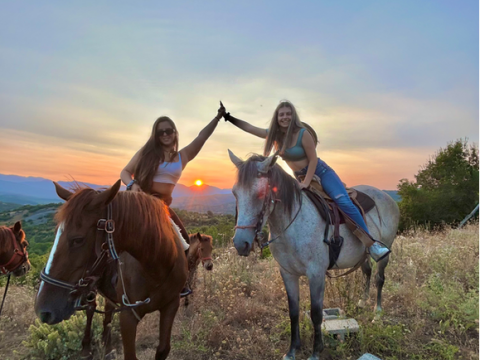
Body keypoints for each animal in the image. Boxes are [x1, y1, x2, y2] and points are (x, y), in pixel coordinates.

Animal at [33, 181, 187, 360]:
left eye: (78, 240)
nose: (43, 310)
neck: (156, 268)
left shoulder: (171, 306)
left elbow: (163, 349)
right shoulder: (128, 316)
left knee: (107, 310)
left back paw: (107, 347)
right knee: (91, 308)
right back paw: (86, 348)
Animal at [230, 151, 402, 360]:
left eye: (260, 194)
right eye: (235, 193)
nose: (241, 244)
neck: (292, 225)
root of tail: (388, 197)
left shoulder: (316, 274)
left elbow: (316, 314)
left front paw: (315, 351)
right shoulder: (287, 273)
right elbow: (294, 311)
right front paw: (292, 350)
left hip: (384, 253)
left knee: (379, 278)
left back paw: (377, 314)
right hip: (363, 254)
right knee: (366, 272)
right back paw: (362, 302)